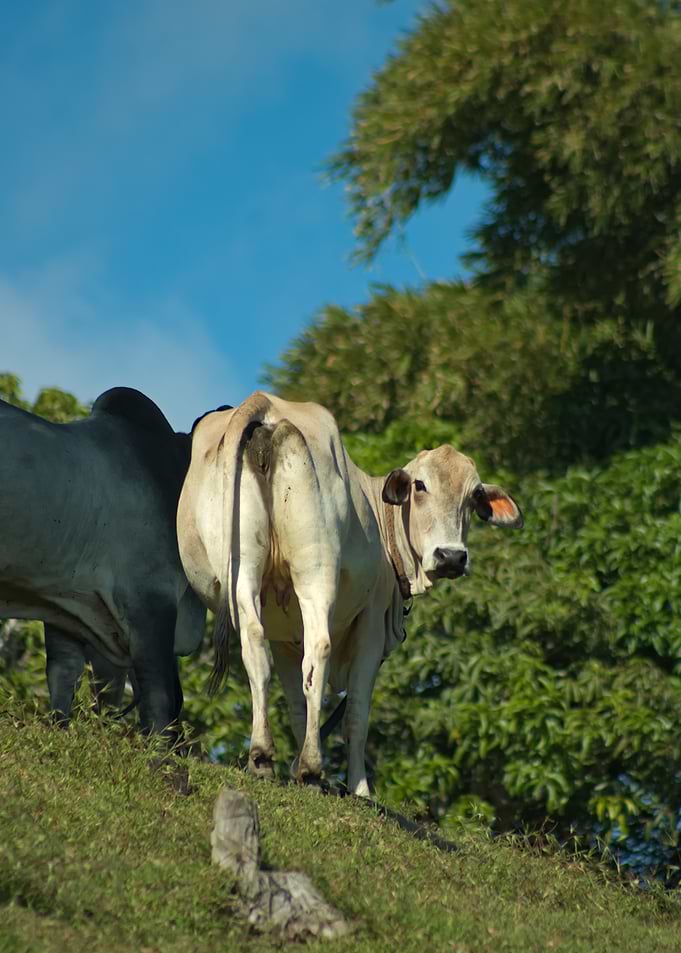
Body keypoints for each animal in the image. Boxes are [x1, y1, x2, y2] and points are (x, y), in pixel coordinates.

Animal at [177, 391, 522, 796]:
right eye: (420, 486)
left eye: (474, 496)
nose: (451, 556)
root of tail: (264, 405)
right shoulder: (370, 625)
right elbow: (355, 714)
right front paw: (359, 790)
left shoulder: (284, 635)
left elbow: (297, 702)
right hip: (316, 569)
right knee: (319, 650)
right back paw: (312, 767)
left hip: (243, 569)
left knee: (255, 644)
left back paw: (262, 757)